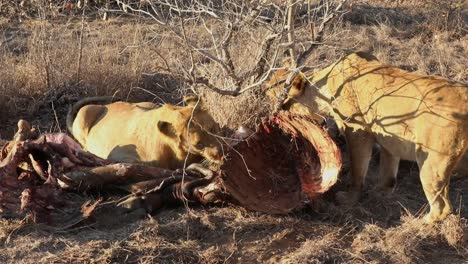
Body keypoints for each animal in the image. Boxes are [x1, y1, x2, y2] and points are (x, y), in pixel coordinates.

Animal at [66, 96, 225, 170]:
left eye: (213, 129)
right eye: (198, 144)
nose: (221, 153)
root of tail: (107, 105)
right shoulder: (122, 157)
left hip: (149, 104)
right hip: (85, 111)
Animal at [266, 51, 468, 223]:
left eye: (281, 103)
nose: (271, 116)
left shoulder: (357, 131)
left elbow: (358, 170)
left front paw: (349, 199)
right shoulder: (390, 141)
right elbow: (387, 172)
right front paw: (381, 192)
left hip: (431, 164)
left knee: (442, 207)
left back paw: (420, 222)